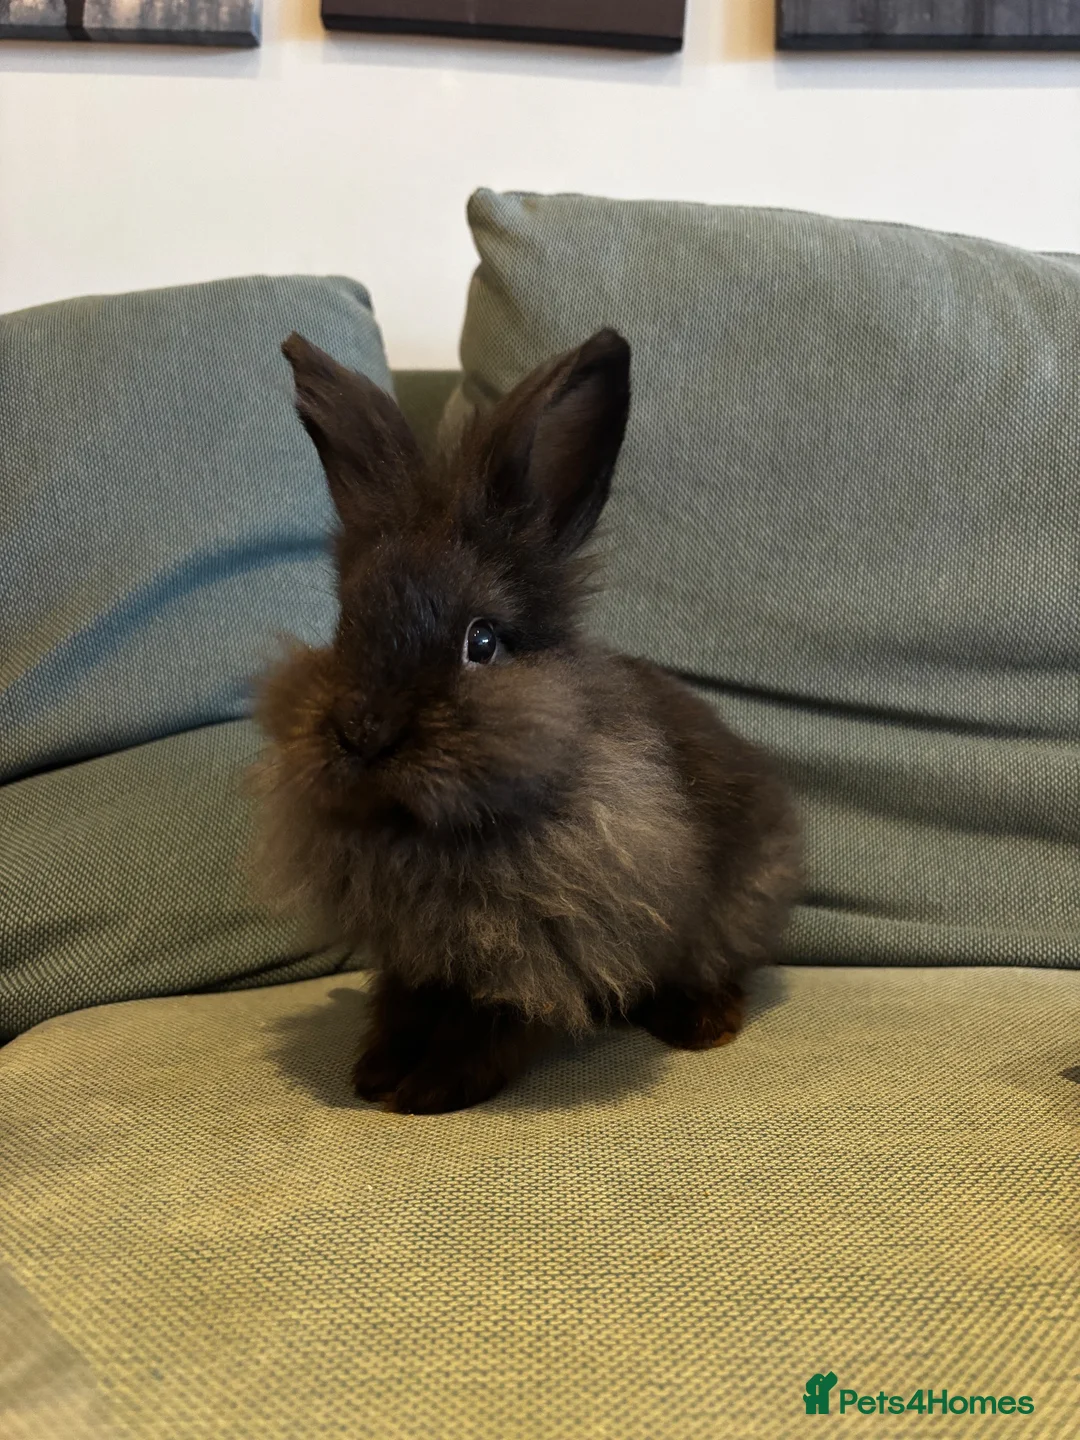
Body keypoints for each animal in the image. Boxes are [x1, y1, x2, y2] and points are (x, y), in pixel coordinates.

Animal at [253, 327, 800, 1114]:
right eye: (345, 624)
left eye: (482, 642)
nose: (364, 731)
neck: (427, 837)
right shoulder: (416, 958)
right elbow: (405, 1004)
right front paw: (377, 1073)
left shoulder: (544, 947)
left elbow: (496, 1019)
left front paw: (428, 1089)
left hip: (736, 907)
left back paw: (702, 1025)